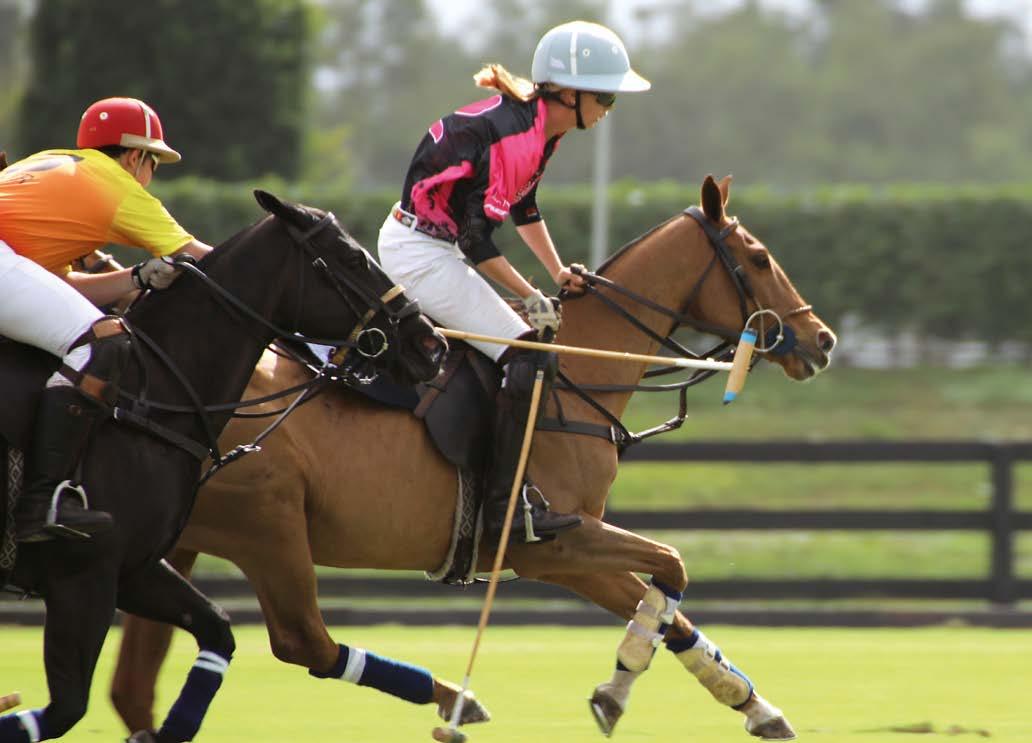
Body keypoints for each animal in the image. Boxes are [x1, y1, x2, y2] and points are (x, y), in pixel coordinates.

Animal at [0, 190, 446, 743]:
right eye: (350, 256)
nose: (431, 345)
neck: (151, 396)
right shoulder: (84, 576)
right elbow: (65, 708)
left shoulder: (133, 568)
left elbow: (217, 628)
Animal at [111, 175, 836, 740]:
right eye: (760, 258)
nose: (823, 340)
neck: (579, 372)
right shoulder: (553, 540)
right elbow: (672, 565)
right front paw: (618, 689)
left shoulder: (568, 550)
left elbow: (667, 605)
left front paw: (753, 706)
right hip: (269, 524)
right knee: (297, 640)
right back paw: (454, 700)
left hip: (181, 540)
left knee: (138, 676)